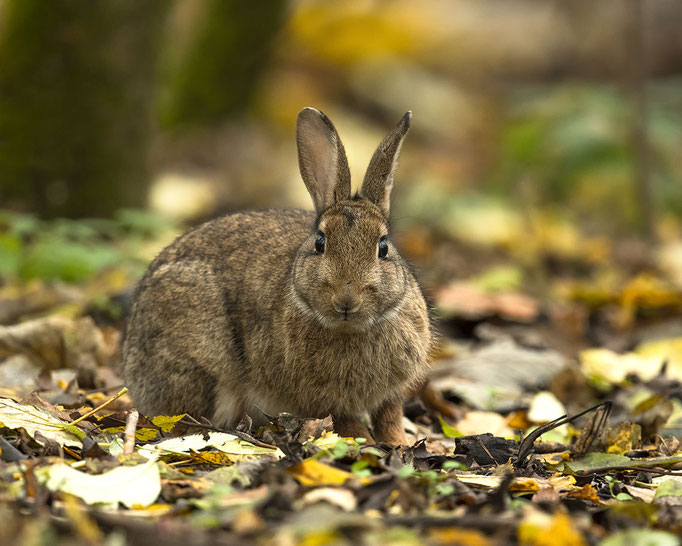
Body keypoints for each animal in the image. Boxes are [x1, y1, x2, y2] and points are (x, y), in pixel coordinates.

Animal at [122, 106, 430, 442]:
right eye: (320, 243)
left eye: (383, 247)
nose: (346, 299)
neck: (351, 328)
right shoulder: (328, 400)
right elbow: (348, 424)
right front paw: (367, 444)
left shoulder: (390, 394)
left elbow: (390, 418)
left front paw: (398, 444)